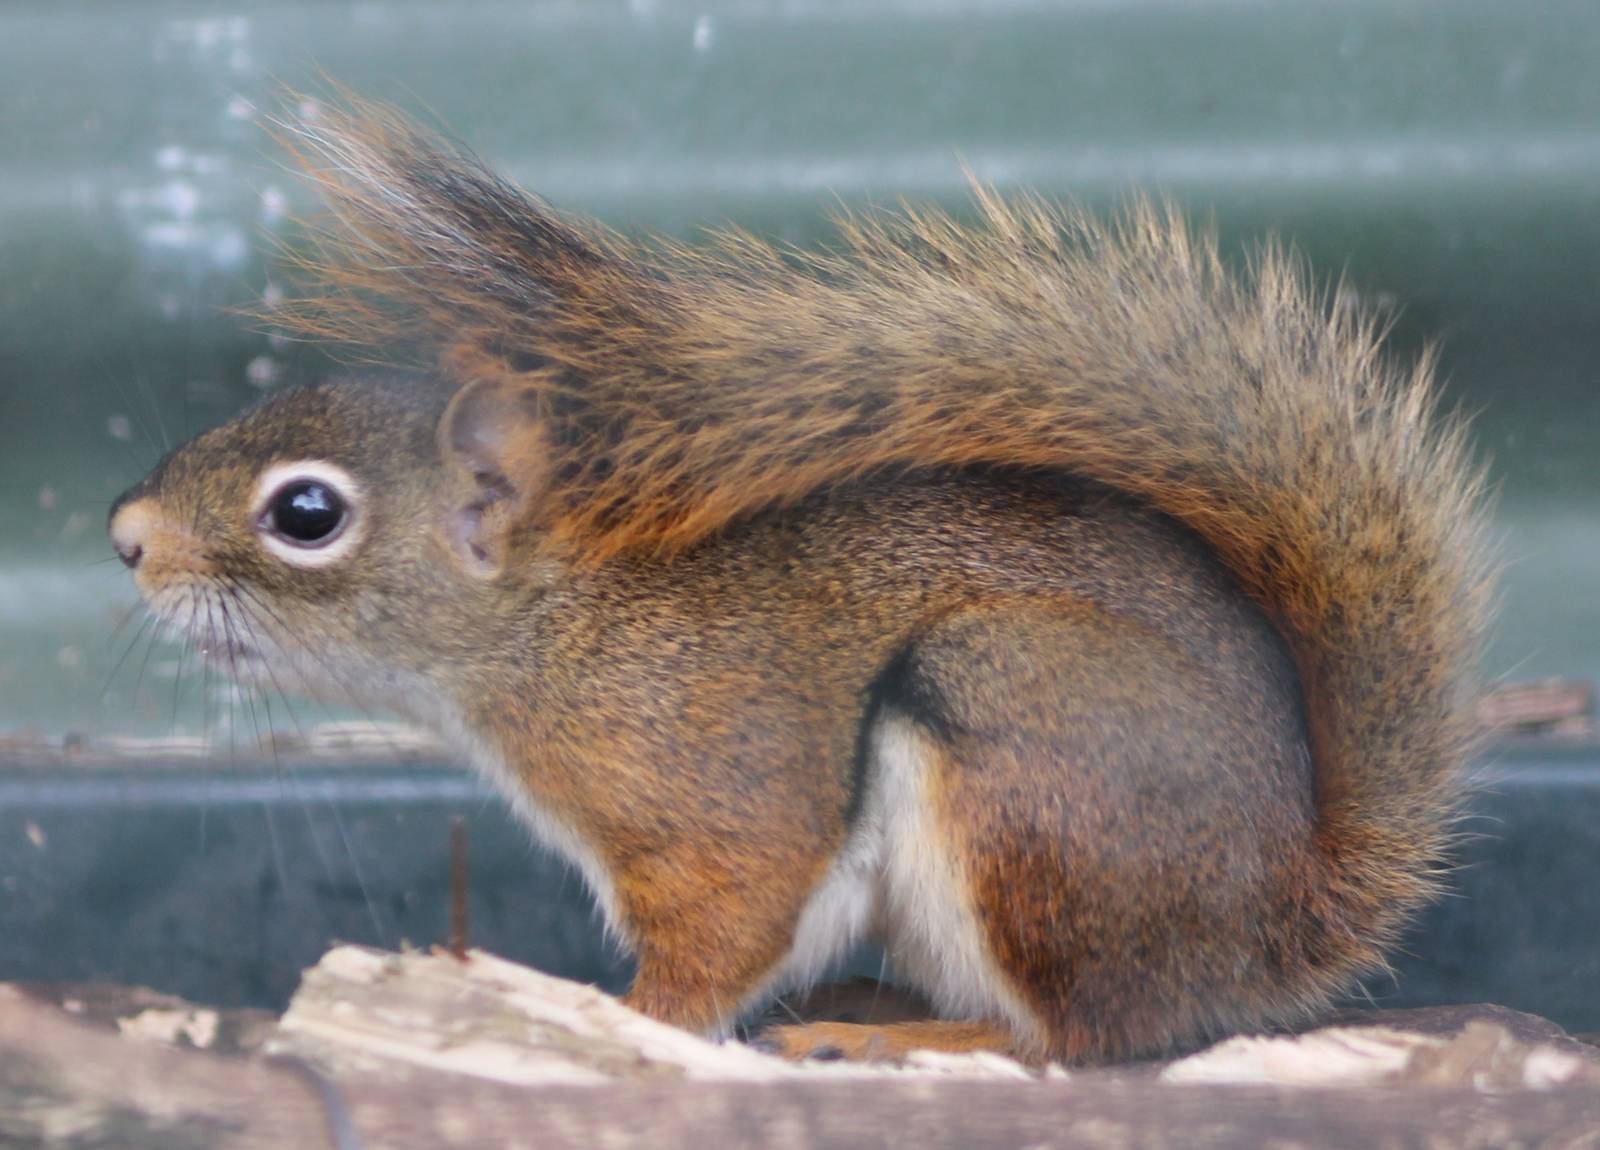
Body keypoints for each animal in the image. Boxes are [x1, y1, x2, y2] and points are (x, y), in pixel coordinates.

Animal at [107, 101, 1495, 1065]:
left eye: (306, 513)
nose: (125, 536)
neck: (557, 629)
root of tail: (1278, 925)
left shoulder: (711, 786)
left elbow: (726, 925)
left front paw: (625, 1024)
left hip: (1023, 734)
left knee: (1073, 1038)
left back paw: (884, 1036)